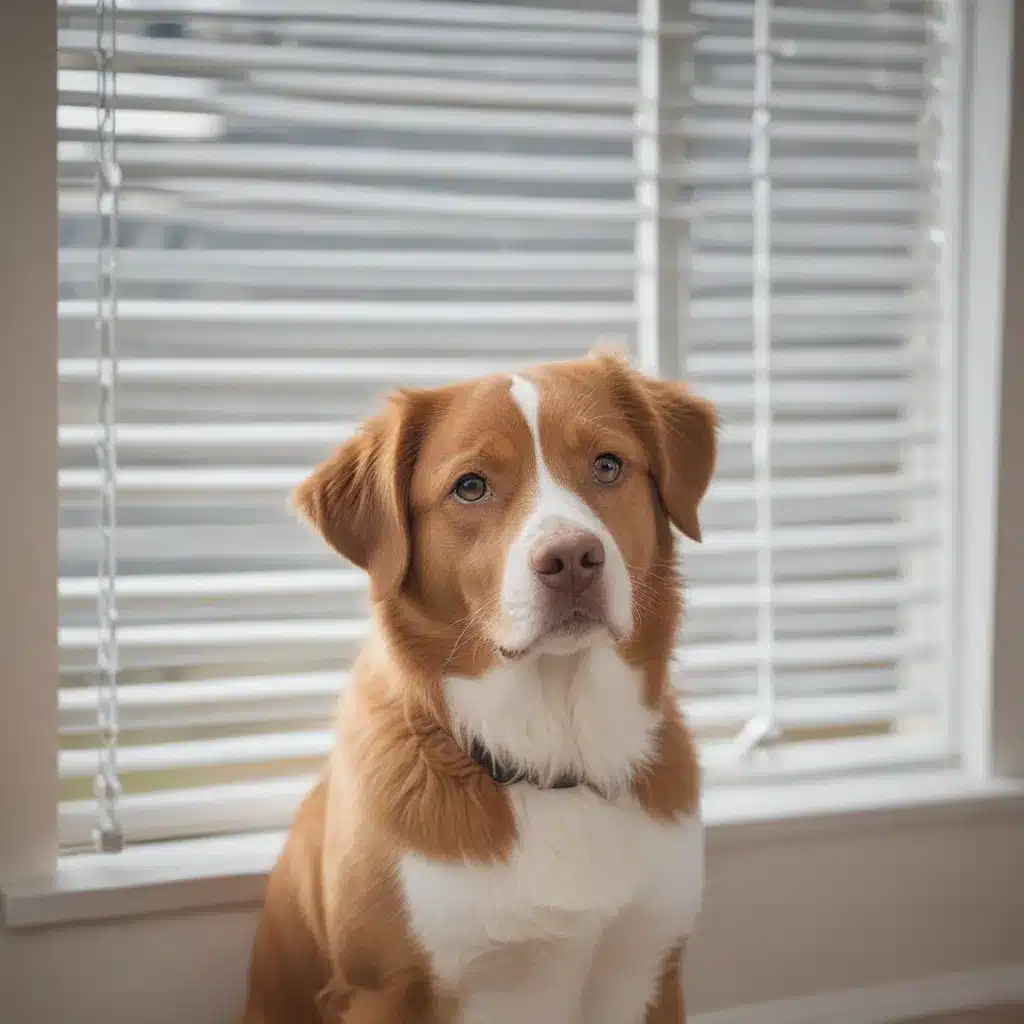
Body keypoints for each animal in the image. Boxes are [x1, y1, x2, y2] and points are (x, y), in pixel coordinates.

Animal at [242, 350, 716, 1024]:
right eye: (471, 486)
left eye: (607, 465)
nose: (573, 559)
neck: (554, 755)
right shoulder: (380, 991)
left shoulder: (654, 966)